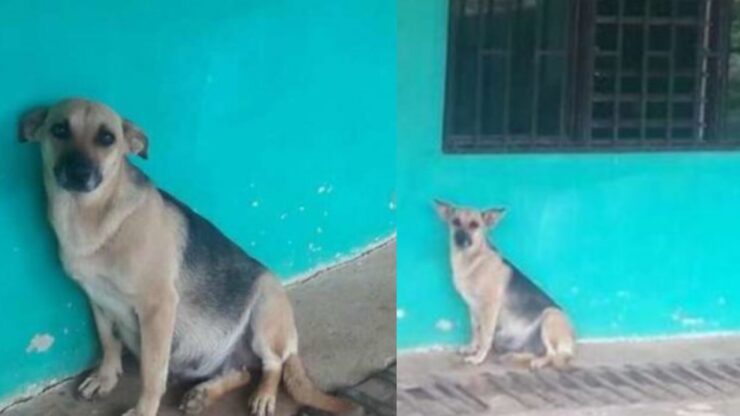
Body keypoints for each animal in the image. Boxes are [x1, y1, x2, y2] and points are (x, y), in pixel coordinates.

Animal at [16, 98, 352, 416]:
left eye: (107, 138)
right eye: (59, 129)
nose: (78, 173)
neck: (94, 218)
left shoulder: (158, 308)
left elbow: (152, 375)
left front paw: (143, 410)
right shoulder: (98, 299)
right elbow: (108, 343)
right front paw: (106, 377)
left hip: (265, 311)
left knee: (273, 365)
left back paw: (264, 395)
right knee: (242, 372)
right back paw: (204, 393)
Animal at [434, 200, 580, 368]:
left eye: (474, 225)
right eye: (455, 222)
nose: (459, 238)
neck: (474, 259)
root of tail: (572, 341)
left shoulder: (489, 307)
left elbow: (485, 335)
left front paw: (478, 357)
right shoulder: (473, 306)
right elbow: (475, 331)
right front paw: (471, 348)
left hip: (550, 315)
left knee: (552, 354)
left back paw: (539, 362)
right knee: (537, 352)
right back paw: (513, 357)